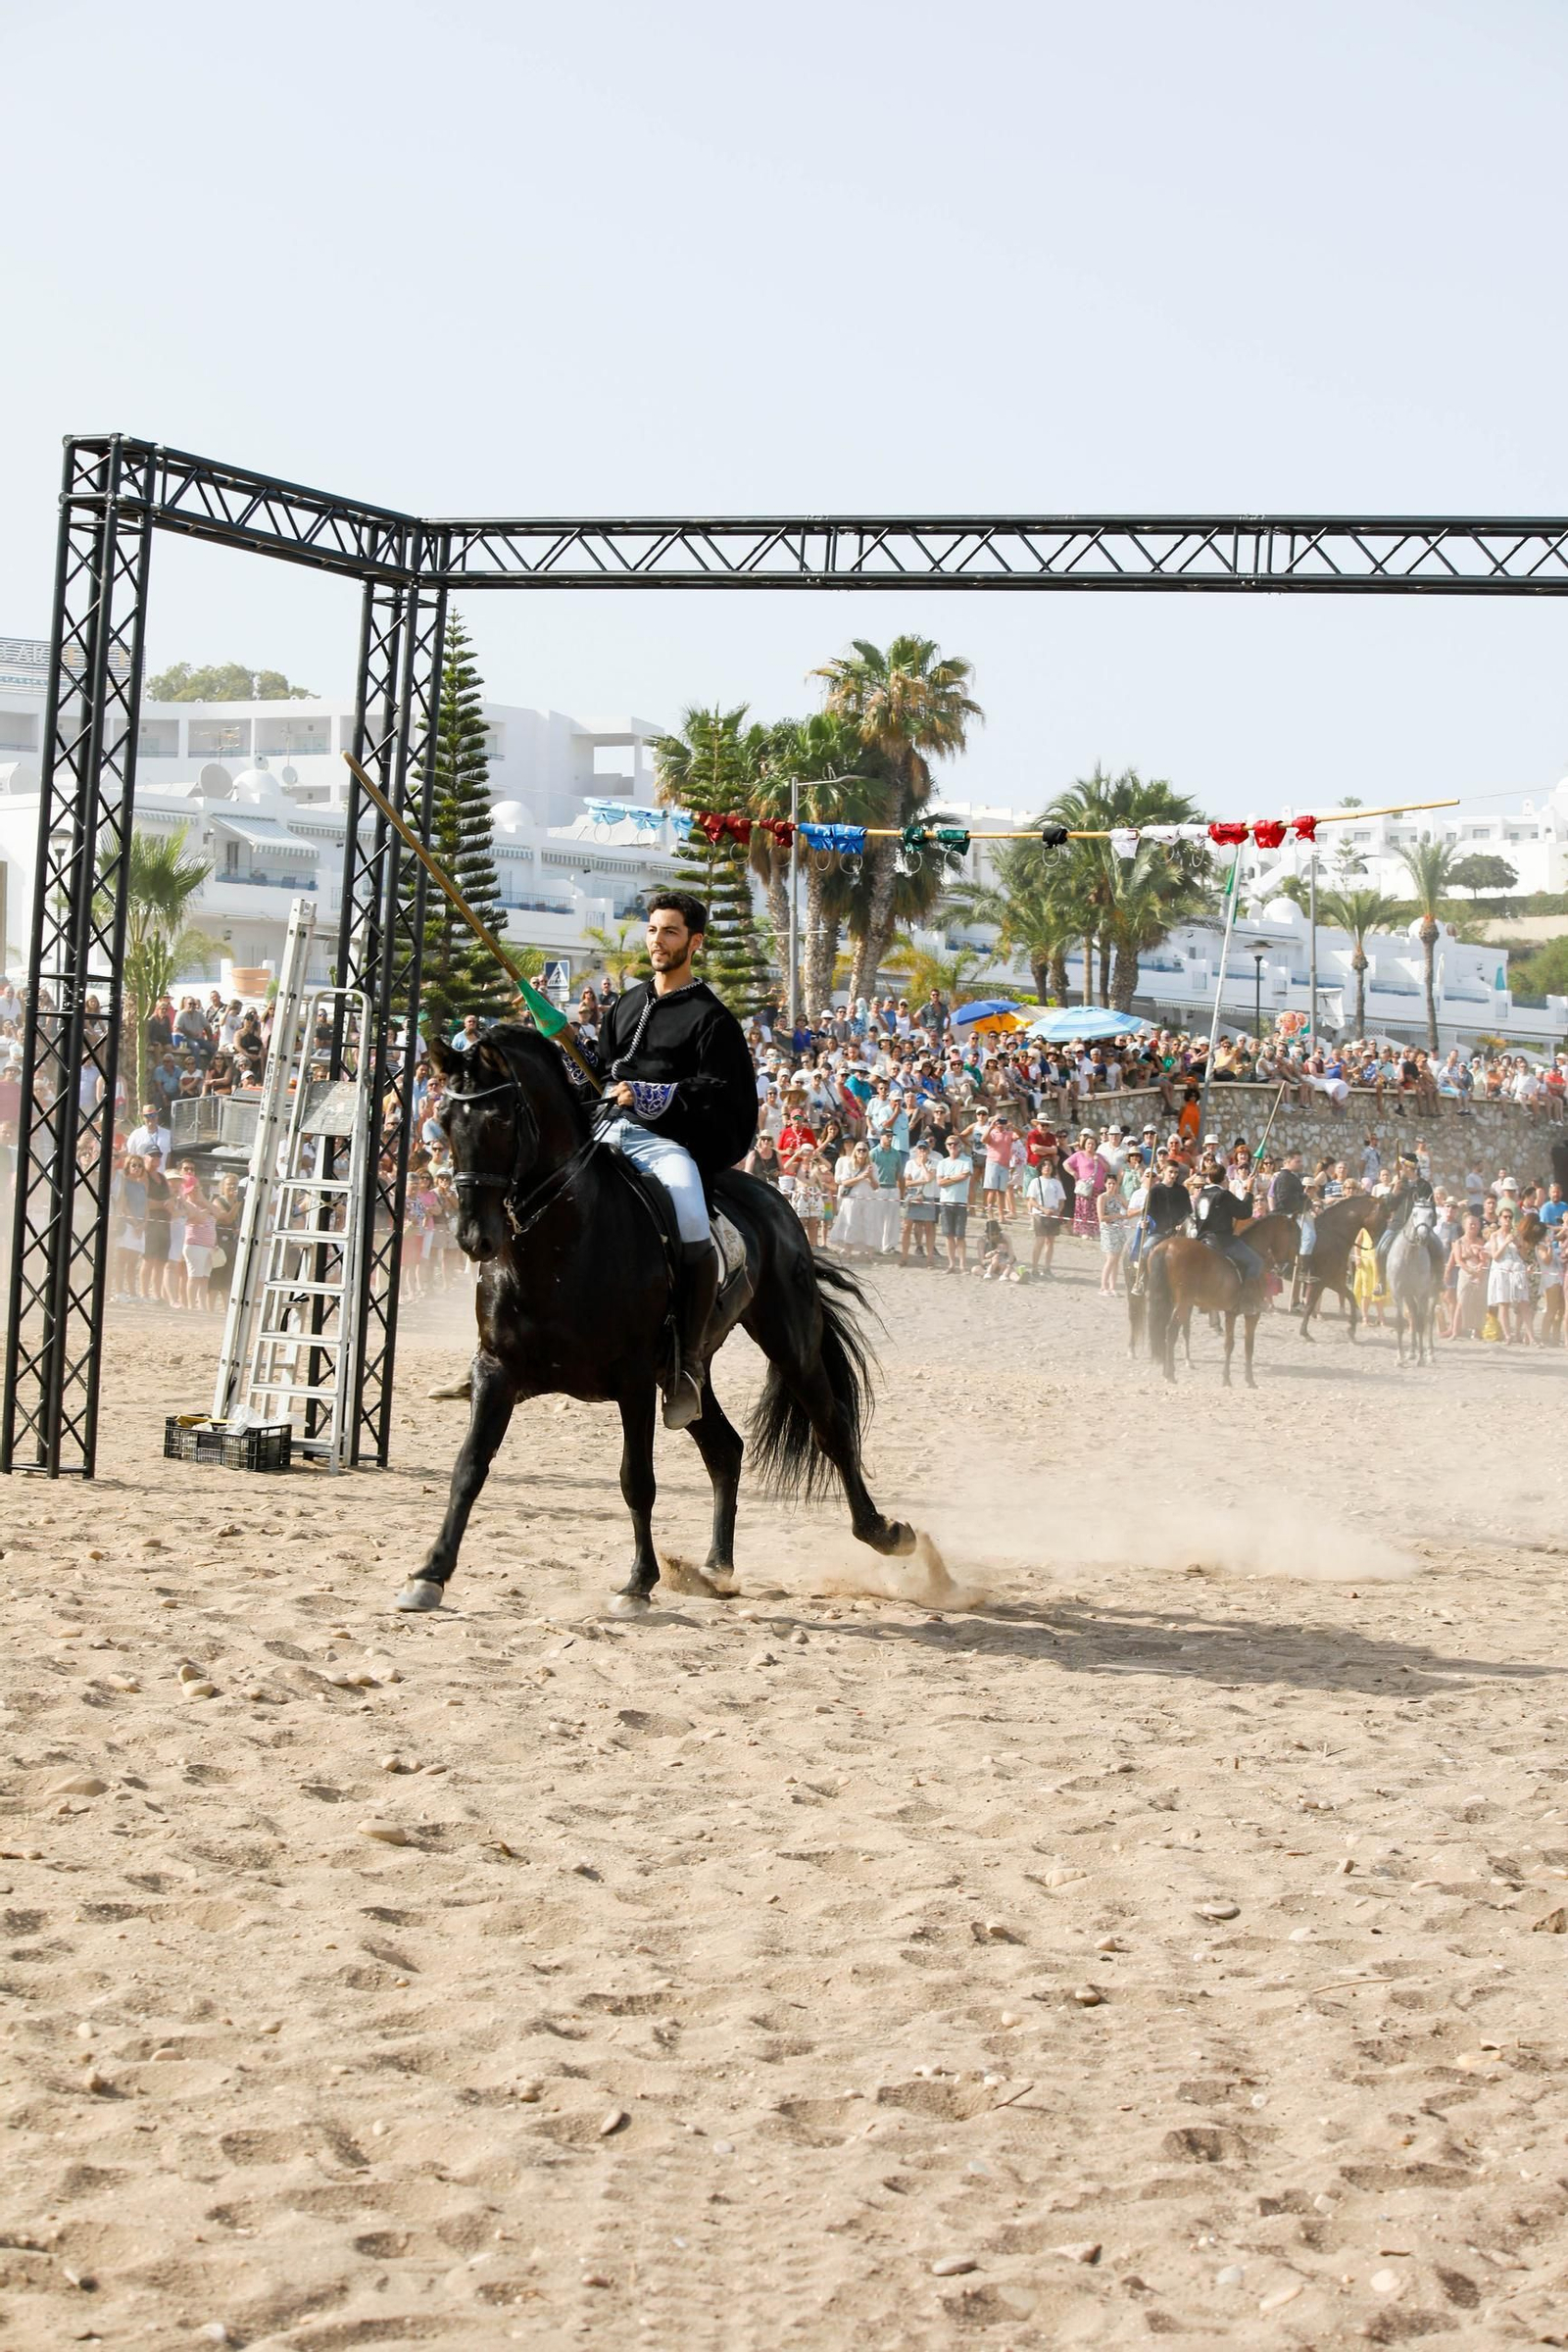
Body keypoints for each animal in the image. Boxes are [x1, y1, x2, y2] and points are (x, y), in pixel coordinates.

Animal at [396, 1025, 915, 1616]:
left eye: (501, 1120)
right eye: (445, 1122)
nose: (474, 1238)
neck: (563, 1243)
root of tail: (778, 1205)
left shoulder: (635, 1382)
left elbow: (636, 1480)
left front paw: (638, 1583)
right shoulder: (497, 1372)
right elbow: (469, 1466)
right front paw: (430, 1573)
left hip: (791, 1346)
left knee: (832, 1428)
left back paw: (883, 1532)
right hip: (689, 1373)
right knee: (725, 1450)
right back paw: (715, 1567)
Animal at [1144, 1212, 1301, 1388]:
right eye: (1296, 1238)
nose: (1288, 1270)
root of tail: (1167, 1247)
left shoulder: (1231, 1312)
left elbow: (1229, 1344)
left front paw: (1226, 1378)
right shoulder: (1253, 1314)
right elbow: (1249, 1346)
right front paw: (1250, 1380)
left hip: (1169, 1301)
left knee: (1162, 1330)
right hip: (1183, 1303)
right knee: (1171, 1332)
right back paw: (1170, 1374)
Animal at [1297, 1192, 1389, 1341]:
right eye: (1384, 1216)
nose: (1383, 1242)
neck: (1333, 1234)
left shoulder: (1331, 1280)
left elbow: (1350, 1297)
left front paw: (1351, 1330)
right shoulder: (1323, 1280)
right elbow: (1311, 1304)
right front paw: (1305, 1332)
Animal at [1386, 1201, 1443, 1367]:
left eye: (1431, 1214)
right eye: (1415, 1213)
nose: (1422, 1237)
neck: (1409, 1255)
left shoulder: (1421, 1293)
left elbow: (1421, 1323)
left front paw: (1421, 1358)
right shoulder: (1398, 1294)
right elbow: (1400, 1323)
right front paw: (1400, 1358)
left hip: (1432, 1293)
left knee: (1428, 1318)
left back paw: (1430, 1354)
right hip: (1409, 1296)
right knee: (1412, 1316)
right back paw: (1411, 1352)